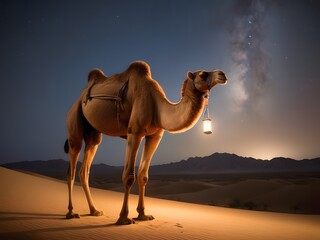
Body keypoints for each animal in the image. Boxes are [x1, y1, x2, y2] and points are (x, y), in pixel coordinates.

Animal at [63, 60, 226, 225]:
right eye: (203, 74)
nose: (222, 74)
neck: (156, 105)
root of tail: (77, 100)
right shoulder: (134, 132)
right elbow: (129, 176)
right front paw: (123, 218)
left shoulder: (155, 136)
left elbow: (143, 175)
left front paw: (143, 215)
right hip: (74, 123)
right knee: (71, 169)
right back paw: (71, 212)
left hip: (93, 133)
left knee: (84, 169)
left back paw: (94, 211)